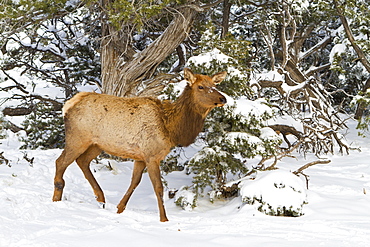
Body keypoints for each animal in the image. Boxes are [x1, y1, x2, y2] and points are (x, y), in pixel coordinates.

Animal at [53, 68, 227, 222]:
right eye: (200, 86)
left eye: (215, 85)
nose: (223, 99)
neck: (171, 128)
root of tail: (68, 105)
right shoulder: (152, 155)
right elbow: (158, 187)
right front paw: (164, 219)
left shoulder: (140, 157)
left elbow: (134, 182)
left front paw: (119, 208)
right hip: (77, 138)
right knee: (60, 162)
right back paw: (56, 199)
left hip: (96, 144)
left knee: (82, 161)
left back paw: (101, 198)